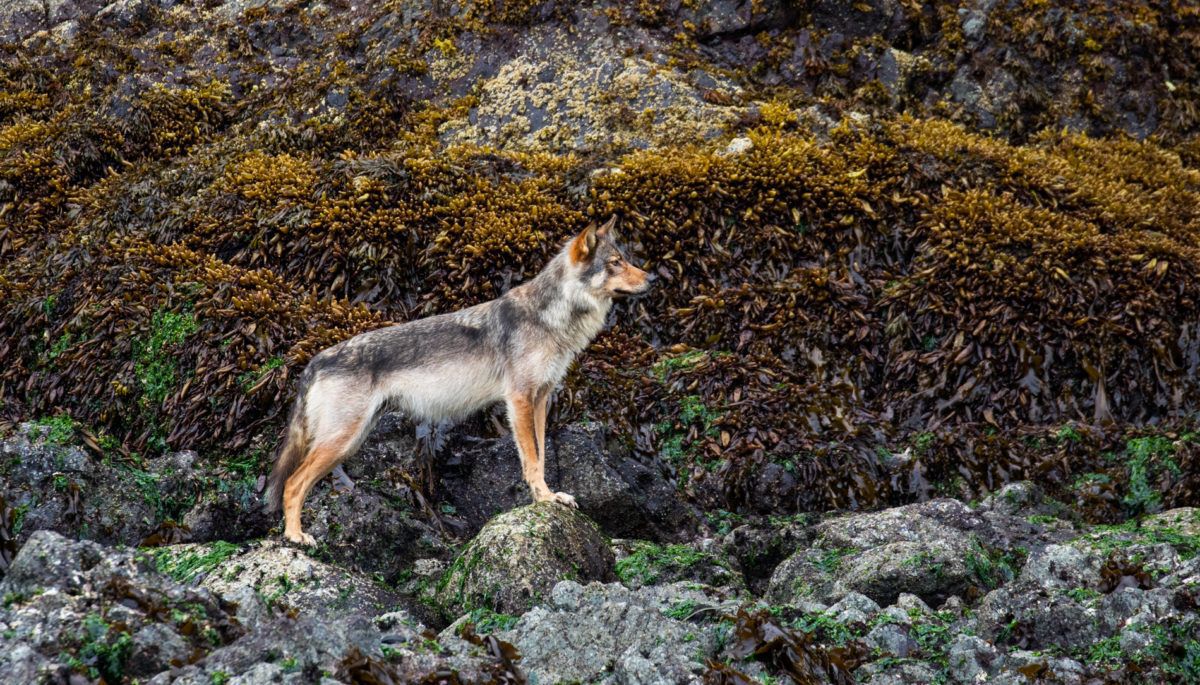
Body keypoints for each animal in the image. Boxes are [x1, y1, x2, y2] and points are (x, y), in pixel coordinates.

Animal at [265, 216, 650, 545]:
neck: (551, 318)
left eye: (625, 260)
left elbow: (540, 456)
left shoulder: (541, 399)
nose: (653, 280)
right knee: (293, 484)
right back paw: (296, 537)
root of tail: (316, 360)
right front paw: (543, 499)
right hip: (341, 441)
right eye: (616, 262)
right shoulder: (519, 399)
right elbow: (531, 459)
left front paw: (549, 495)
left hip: (349, 441)